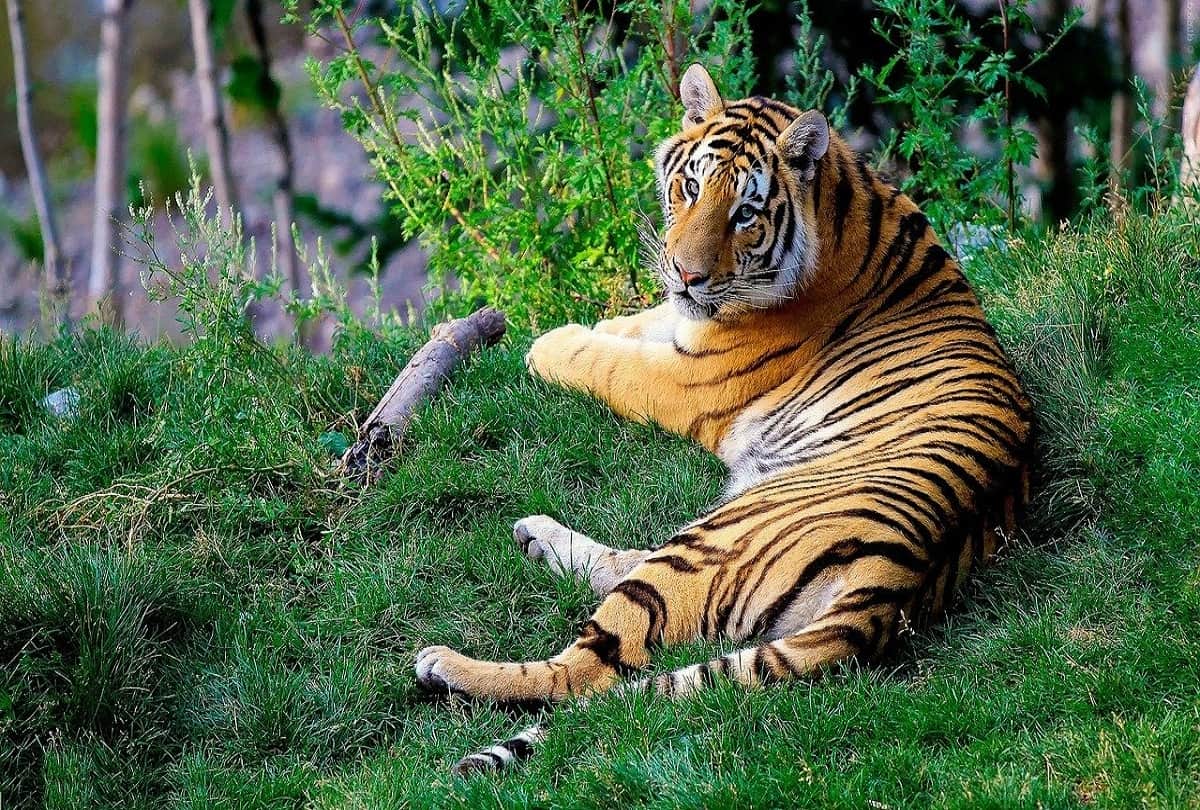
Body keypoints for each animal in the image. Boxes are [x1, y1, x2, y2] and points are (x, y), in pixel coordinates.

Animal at [415, 63, 1034, 775]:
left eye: (744, 214)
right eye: (688, 187)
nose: (686, 273)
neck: (844, 205)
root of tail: (895, 581)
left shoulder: (688, 379)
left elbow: (604, 360)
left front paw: (550, 342)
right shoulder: (684, 325)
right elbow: (637, 323)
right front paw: (600, 321)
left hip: (711, 541)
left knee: (586, 672)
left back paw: (445, 664)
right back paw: (535, 535)